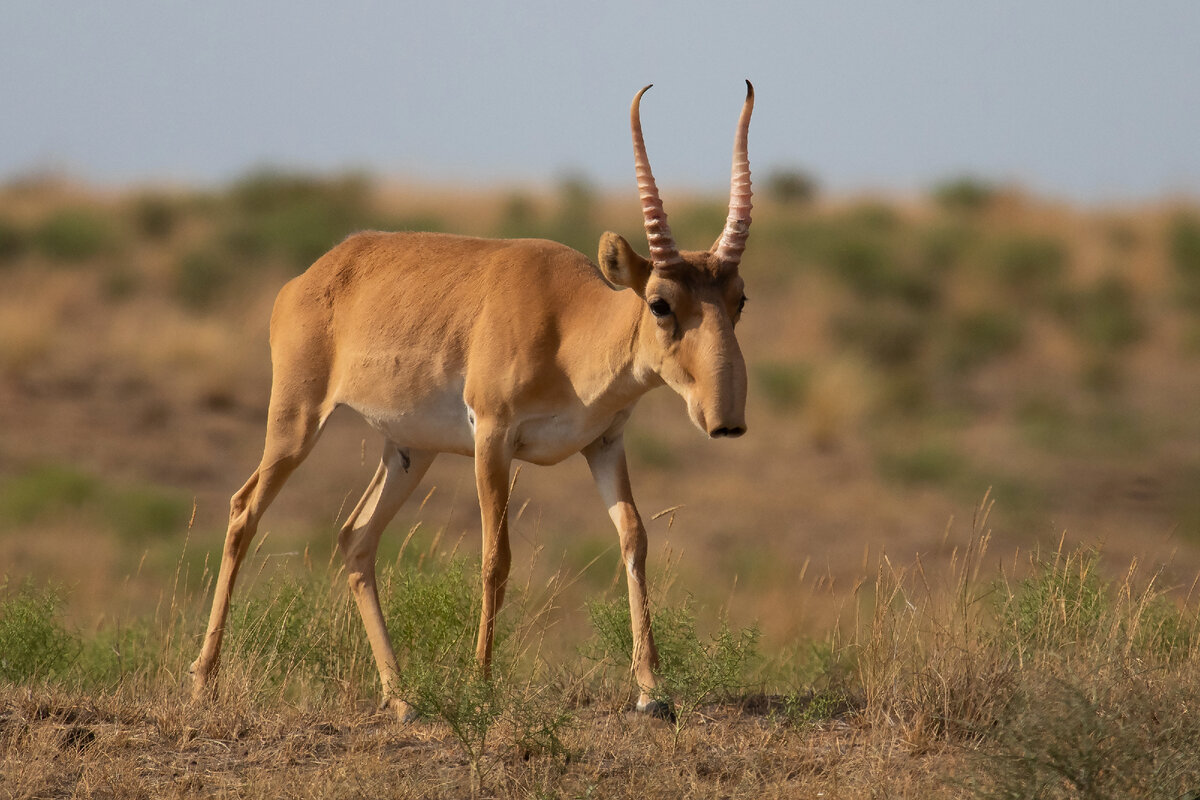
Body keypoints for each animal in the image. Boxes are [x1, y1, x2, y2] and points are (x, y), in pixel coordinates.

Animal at [190, 81, 753, 719]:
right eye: (659, 302)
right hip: (296, 423)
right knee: (244, 510)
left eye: (738, 298)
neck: (567, 318)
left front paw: (652, 692)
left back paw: (402, 699)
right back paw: (203, 681)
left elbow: (634, 539)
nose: (725, 420)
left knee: (356, 539)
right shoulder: (493, 438)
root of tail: (311, 276)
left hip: (409, 452)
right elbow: (494, 557)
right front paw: (482, 685)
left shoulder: (605, 443)